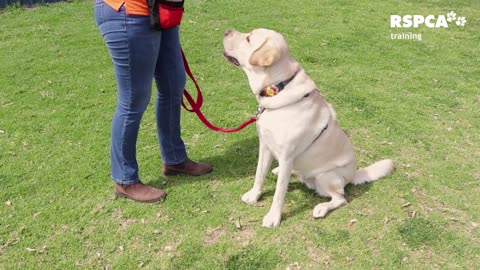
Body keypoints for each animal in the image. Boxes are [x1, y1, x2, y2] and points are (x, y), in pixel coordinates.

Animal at [221, 28, 394, 228]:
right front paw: (253, 195)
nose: (226, 31)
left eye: (248, 38)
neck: (279, 87)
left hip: (327, 177)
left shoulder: (287, 156)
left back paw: (321, 208)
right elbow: (259, 174)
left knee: (341, 198)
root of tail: (353, 174)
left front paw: (273, 217)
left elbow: (279, 193)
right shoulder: (265, 145)